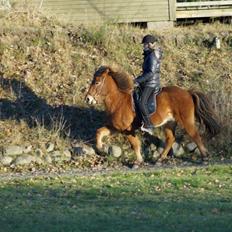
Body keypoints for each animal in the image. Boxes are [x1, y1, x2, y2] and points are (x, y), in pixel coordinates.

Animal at [85, 65, 219, 165]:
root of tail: (187, 92)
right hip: (169, 123)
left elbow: (135, 144)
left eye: (97, 82)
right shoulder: (116, 128)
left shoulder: (127, 129)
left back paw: (204, 157)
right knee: (171, 139)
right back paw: (160, 159)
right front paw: (101, 148)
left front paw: (138, 162)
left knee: (195, 135)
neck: (118, 101)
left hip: (186, 121)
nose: (88, 99)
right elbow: (99, 132)